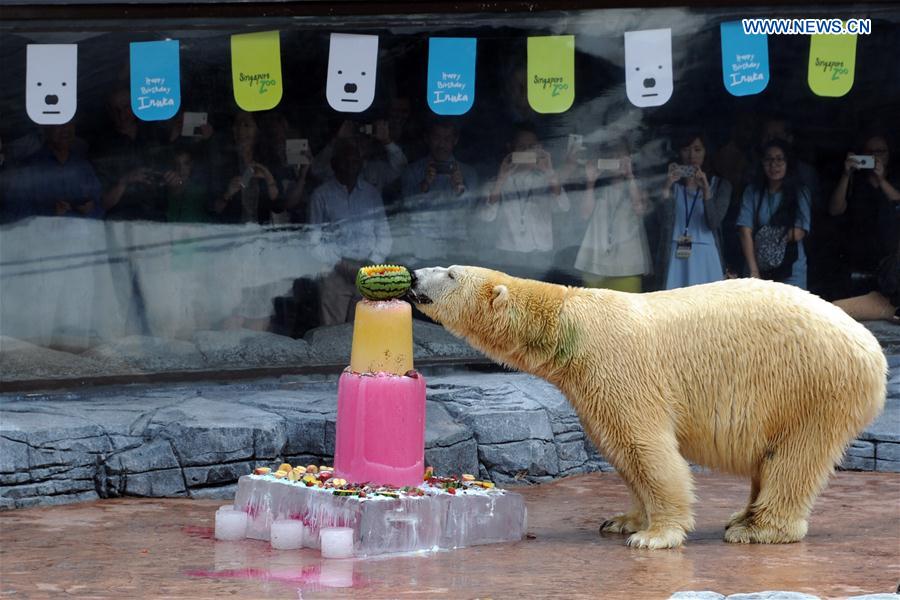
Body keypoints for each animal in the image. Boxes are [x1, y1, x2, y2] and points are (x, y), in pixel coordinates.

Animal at [408, 268, 884, 548]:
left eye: (449, 273)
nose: (413, 274)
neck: (567, 321)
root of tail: (873, 351)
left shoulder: (617, 367)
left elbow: (646, 446)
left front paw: (655, 536)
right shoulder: (589, 385)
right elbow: (622, 452)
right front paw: (624, 521)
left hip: (810, 387)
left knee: (793, 458)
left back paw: (756, 528)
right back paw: (742, 515)